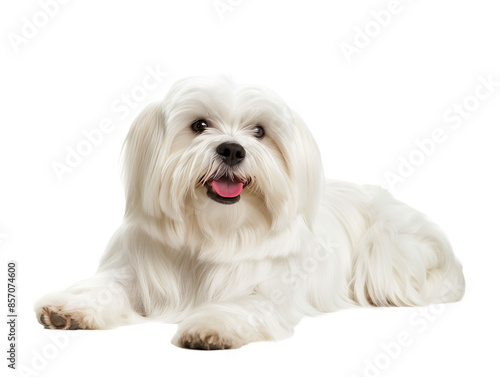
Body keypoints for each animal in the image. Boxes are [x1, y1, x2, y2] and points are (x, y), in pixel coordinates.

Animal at [35, 76, 464, 350]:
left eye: (259, 131)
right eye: (199, 125)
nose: (232, 149)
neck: (212, 231)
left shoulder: (266, 288)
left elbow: (243, 303)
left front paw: (210, 326)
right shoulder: (138, 268)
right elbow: (108, 285)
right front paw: (70, 308)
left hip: (388, 253)